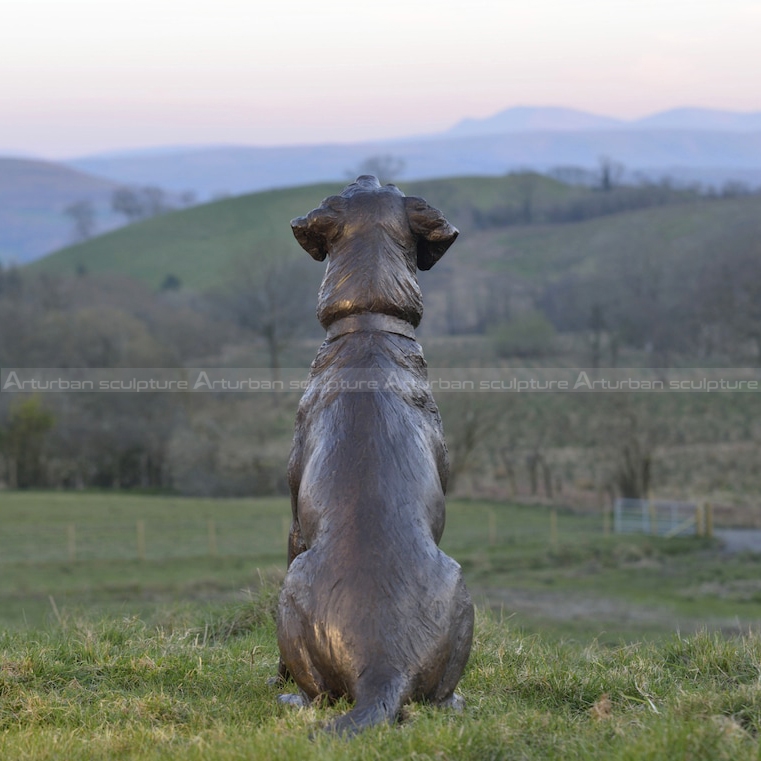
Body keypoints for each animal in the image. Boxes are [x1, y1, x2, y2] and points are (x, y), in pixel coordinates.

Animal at [276, 175, 472, 732]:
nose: (367, 175)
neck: (368, 322)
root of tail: (383, 669)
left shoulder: (293, 518)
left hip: (290, 593)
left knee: (319, 694)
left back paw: (292, 698)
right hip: (462, 589)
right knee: (436, 696)